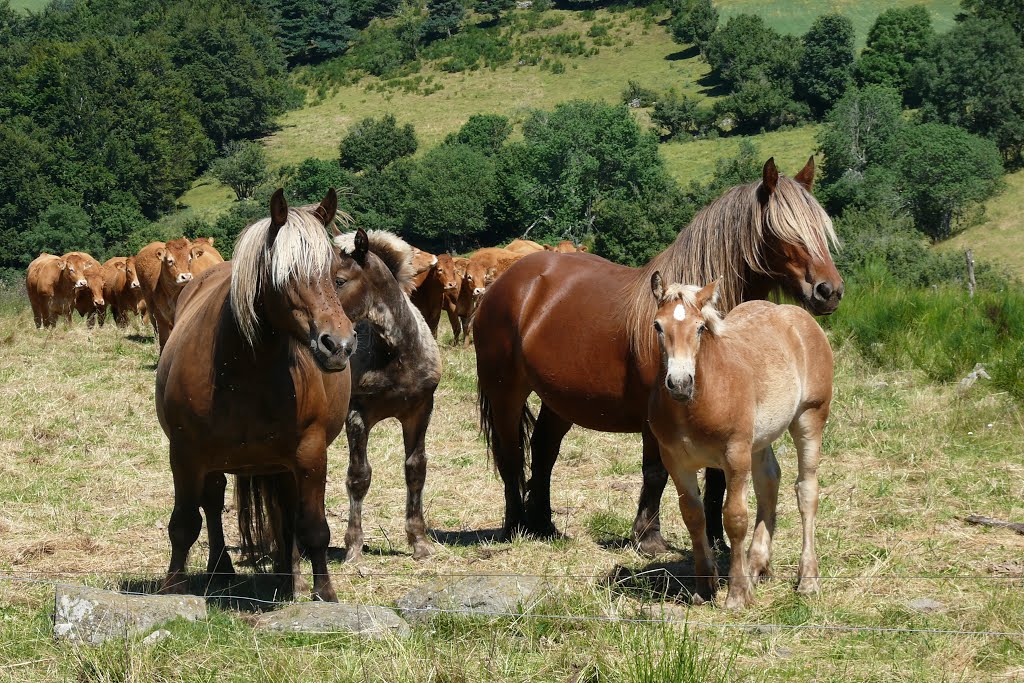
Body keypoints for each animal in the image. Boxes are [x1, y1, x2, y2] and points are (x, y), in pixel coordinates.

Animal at [151, 189, 360, 602]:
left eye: (335, 275)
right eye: (285, 273)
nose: (338, 345)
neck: (244, 367)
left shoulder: (311, 453)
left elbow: (314, 527)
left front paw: (324, 592)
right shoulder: (184, 453)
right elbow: (184, 523)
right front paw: (172, 588)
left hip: (284, 464)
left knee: (287, 513)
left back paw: (288, 575)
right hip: (214, 462)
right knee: (212, 504)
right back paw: (221, 569)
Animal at [471, 160, 839, 557]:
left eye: (821, 229)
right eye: (782, 230)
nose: (829, 291)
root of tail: (503, 283)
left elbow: (717, 476)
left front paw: (716, 539)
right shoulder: (657, 419)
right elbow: (656, 471)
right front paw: (648, 538)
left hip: (559, 400)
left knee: (543, 451)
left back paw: (543, 525)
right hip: (506, 392)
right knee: (510, 454)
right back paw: (515, 525)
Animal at [647, 274, 831, 610]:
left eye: (700, 327)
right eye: (658, 325)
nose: (679, 383)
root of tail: (798, 317)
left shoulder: (735, 455)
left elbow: (734, 518)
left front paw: (736, 594)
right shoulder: (676, 461)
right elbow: (693, 517)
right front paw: (705, 587)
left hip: (810, 418)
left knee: (807, 491)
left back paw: (808, 580)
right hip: (759, 439)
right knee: (769, 481)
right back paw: (756, 565)